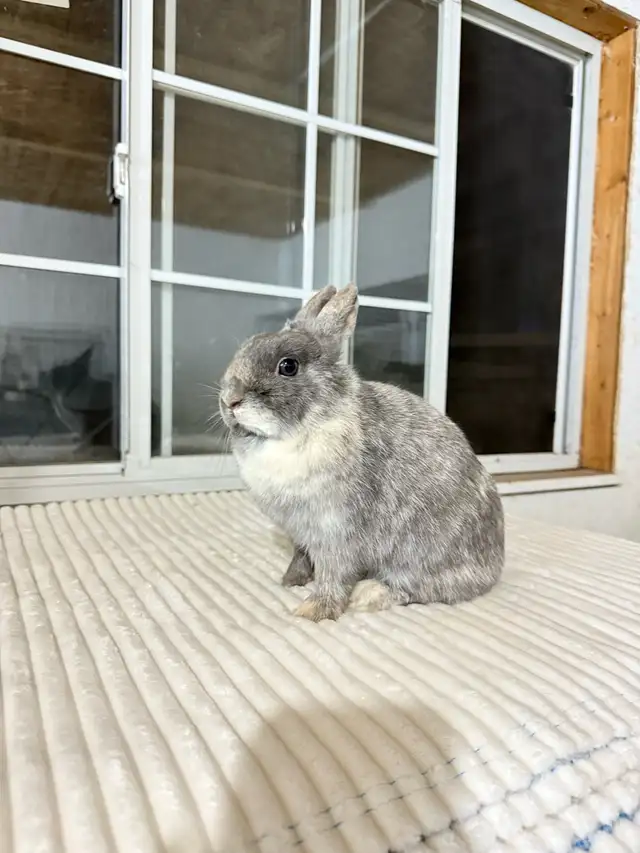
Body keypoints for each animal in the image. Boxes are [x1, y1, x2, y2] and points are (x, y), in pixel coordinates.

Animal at [219, 284, 504, 622]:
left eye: (288, 366)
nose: (230, 400)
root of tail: (494, 569)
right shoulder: (300, 535)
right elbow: (300, 558)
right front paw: (290, 582)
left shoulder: (337, 531)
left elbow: (334, 574)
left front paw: (312, 611)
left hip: (420, 559)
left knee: (419, 591)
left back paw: (368, 594)